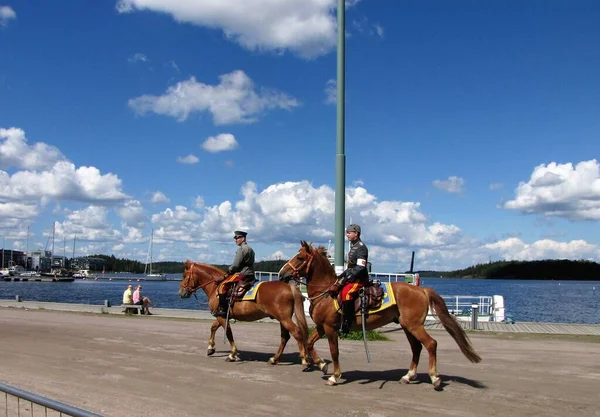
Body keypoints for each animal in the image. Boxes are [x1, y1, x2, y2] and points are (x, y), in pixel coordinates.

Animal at [178, 258, 310, 366]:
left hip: (284, 318)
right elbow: (213, 327)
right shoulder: (222, 316)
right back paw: (275, 358)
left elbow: (228, 333)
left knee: (297, 333)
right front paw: (211, 348)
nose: (181, 292)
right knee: (285, 337)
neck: (216, 286)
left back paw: (304, 360)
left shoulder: (222, 317)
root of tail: (289, 287)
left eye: (184, 275)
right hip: (283, 319)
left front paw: (232, 354)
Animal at [278, 240, 480, 386]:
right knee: (416, 348)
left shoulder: (330, 328)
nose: (281, 274)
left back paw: (435, 377)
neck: (328, 292)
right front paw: (321, 364)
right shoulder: (321, 327)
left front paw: (334, 376)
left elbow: (334, 351)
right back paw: (408, 376)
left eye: (300, 257)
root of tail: (421, 290)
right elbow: (309, 343)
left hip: (414, 326)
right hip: (408, 326)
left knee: (431, 344)